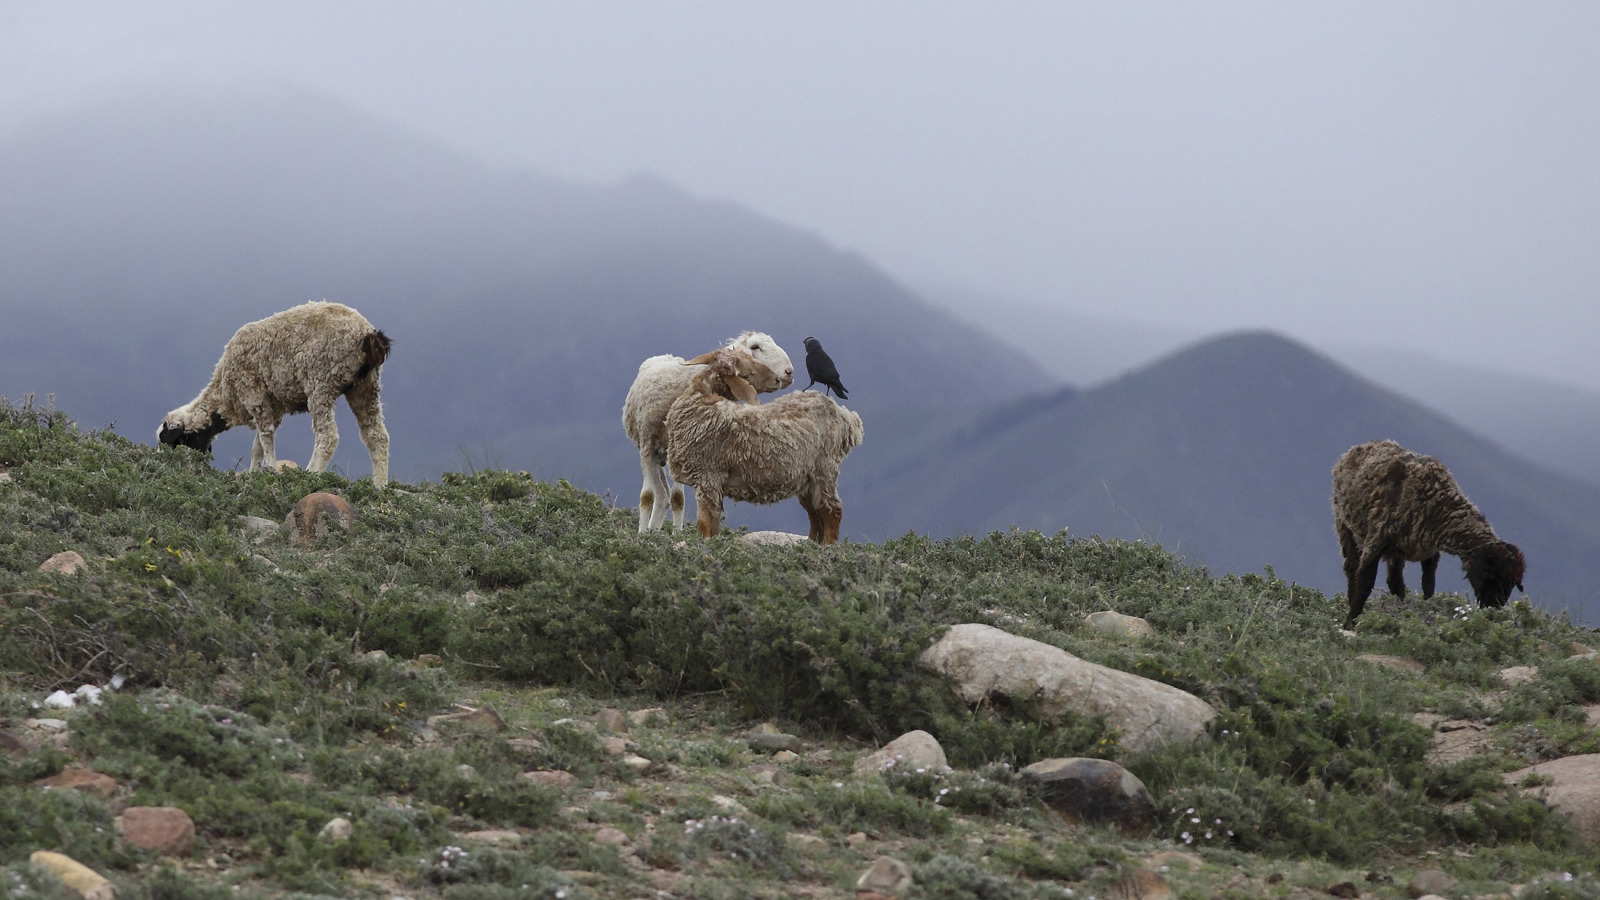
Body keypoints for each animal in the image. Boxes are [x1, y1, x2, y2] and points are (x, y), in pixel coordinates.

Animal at [156, 299, 393, 483]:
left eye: (171, 440)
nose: (167, 466)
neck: (224, 395)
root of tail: (367, 335)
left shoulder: (253, 394)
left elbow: (266, 437)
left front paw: (270, 469)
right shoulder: (275, 407)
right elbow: (257, 445)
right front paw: (254, 473)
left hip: (320, 382)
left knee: (328, 436)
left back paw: (310, 474)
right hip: (365, 387)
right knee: (377, 436)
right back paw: (379, 487)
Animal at [624, 331, 800, 528]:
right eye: (755, 347)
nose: (788, 373)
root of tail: (664, 356)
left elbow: (678, 499)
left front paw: (677, 532)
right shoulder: (648, 445)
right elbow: (647, 496)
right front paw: (642, 534)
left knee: (664, 494)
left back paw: (654, 529)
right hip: (651, 450)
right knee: (659, 493)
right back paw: (649, 530)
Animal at [662, 342, 864, 538]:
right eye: (747, 374)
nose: (776, 379)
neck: (701, 399)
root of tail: (846, 417)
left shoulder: (708, 476)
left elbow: (705, 525)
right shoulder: (712, 482)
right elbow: (714, 524)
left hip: (824, 470)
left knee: (832, 512)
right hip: (807, 480)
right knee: (816, 516)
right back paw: (811, 544)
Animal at [1324, 438, 1523, 624]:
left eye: (1513, 584)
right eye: (1493, 575)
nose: (1494, 607)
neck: (1435, 505)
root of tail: (1354, 450)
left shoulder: (1429, 553)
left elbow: (1428, 585)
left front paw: (1426, 610)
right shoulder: (1376, 540)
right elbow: (1365, 582)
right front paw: (1350, 622)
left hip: (1395, 551)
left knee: (1395, 582)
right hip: (1345, 524)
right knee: (1352, 569)